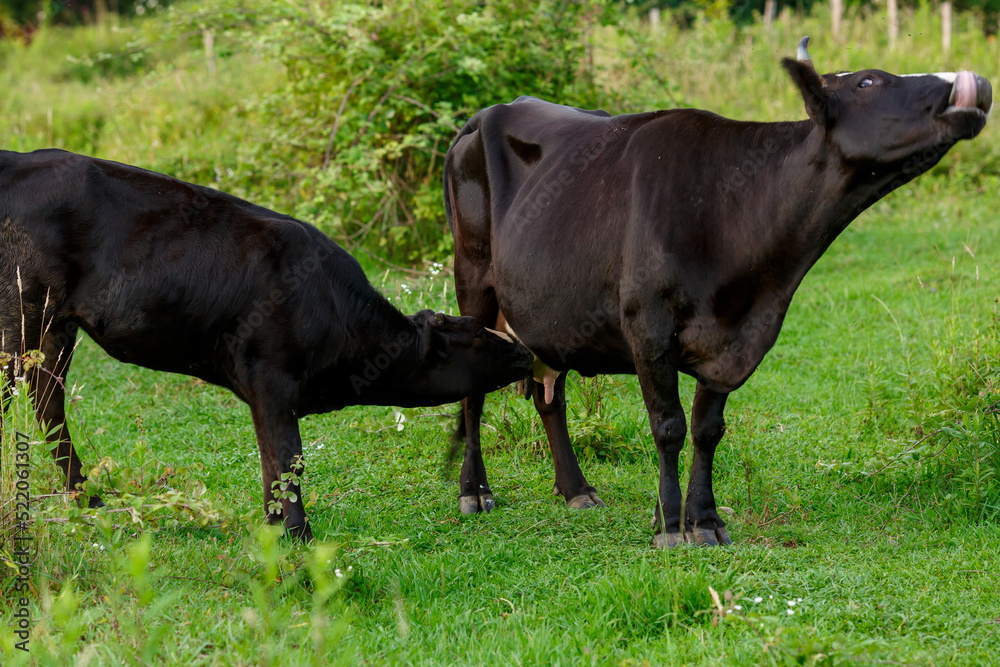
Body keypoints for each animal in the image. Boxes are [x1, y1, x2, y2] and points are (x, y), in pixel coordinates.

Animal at [0, 147, 536, 544]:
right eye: (480, 336)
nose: (527, 352)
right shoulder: (272, 377)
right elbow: (287, 459)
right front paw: (300, 535)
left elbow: (269, 462)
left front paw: (276, 528)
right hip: (20, 316)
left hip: (55, 328)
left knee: (47, 401)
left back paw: (87, 498)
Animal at [448, 37, 992, 548]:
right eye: (869, 82)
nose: (978, 83)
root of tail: (492, 111)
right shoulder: (647, 324)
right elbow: (669, 427)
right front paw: (669, 525)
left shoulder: (734, 339)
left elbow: (708, 431)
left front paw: (705, 520)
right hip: (473, 275)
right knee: (474, 388)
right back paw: (474, 492)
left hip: (547, 311)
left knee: (549, 392)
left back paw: (577, 489)